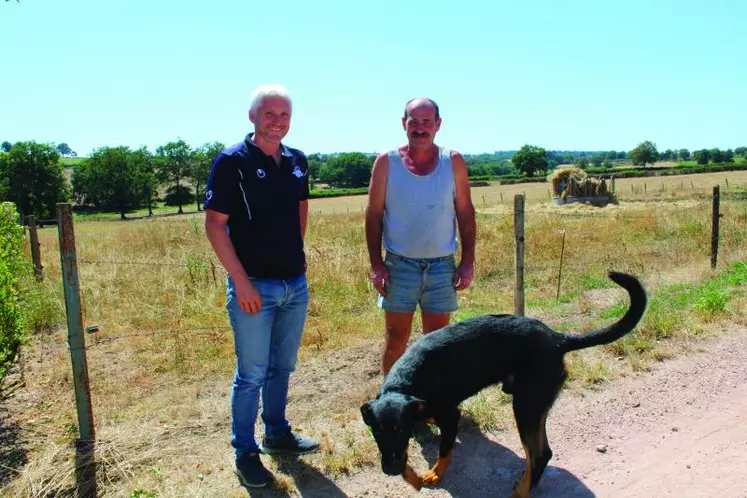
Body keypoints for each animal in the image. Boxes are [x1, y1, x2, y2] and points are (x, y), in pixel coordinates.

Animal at [360, 272, 644, 498]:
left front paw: (433, 474)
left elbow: (444, 450)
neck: (406, 383)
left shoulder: (450, 415)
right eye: (377, 431)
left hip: (526, 406)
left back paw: (522, 491)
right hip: (533, 405)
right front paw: (412, 477)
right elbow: (405, 451)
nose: (390, 471)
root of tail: (557, 338)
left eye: (401, 429)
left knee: (538, 454)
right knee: (544, 452)